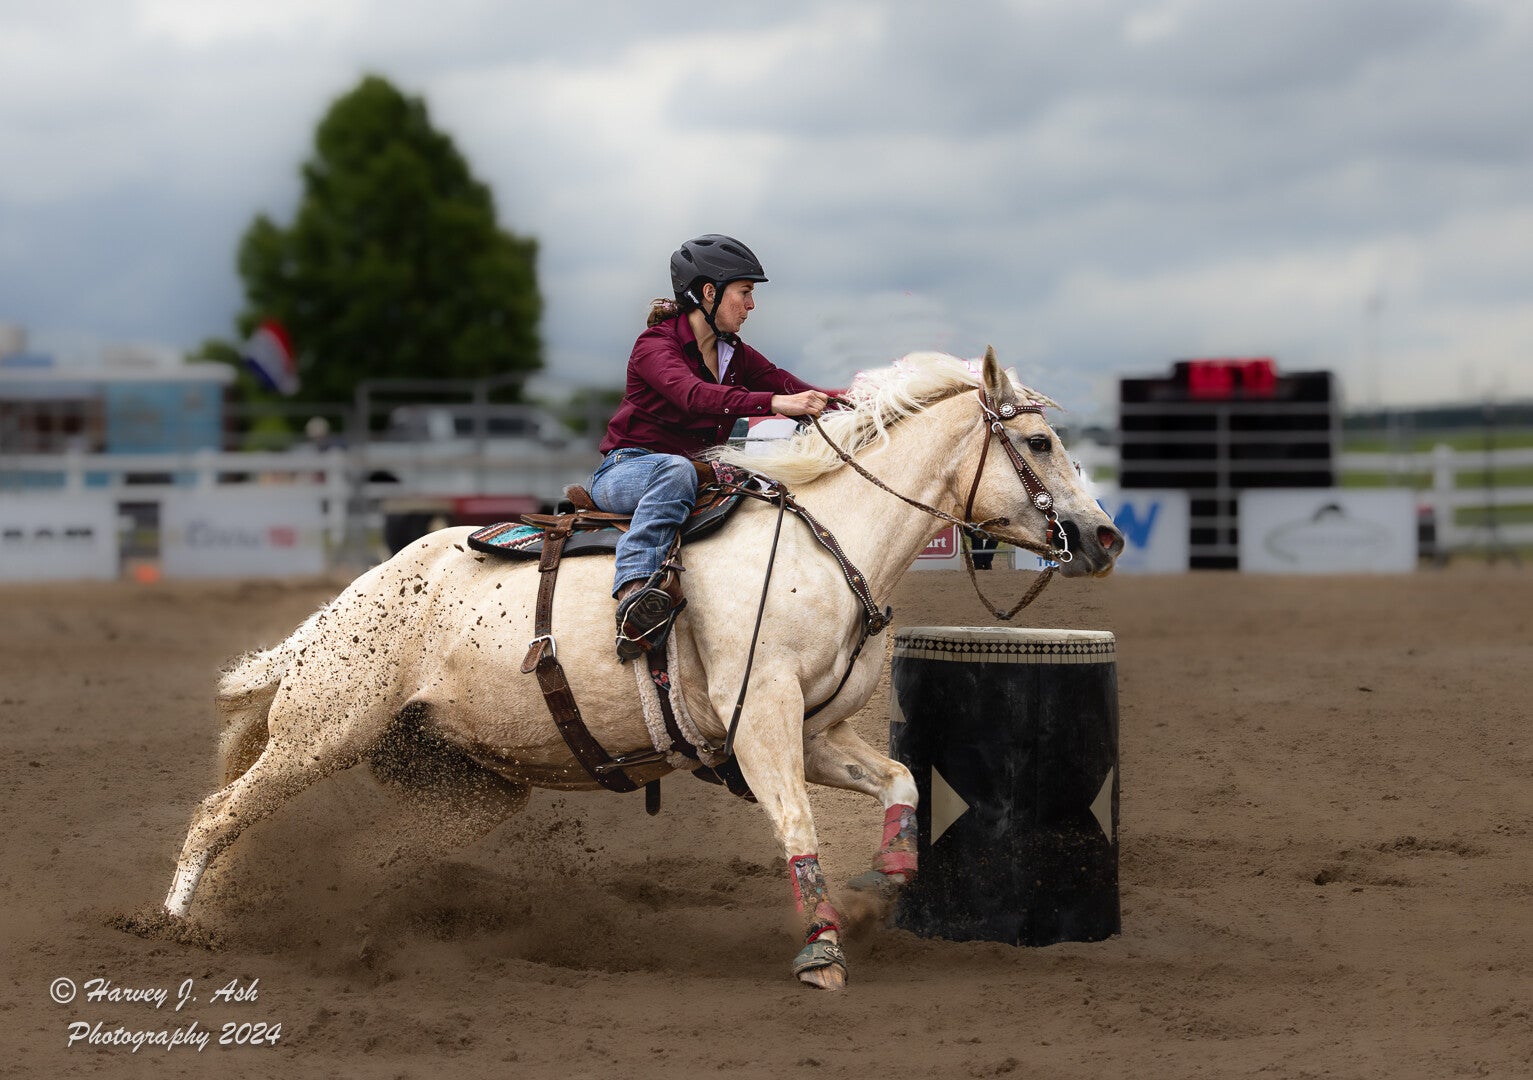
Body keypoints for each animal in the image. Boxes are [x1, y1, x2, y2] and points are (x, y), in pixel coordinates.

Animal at [161, 348, 1123, 990]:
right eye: (1040, 443)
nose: (1106, 536)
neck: (828, 543)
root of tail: (344, 607)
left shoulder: (812, 732)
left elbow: (900, 784)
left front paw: (876, 889)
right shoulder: (760, 720)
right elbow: (798, 826)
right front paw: (820, 949)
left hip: (467, 783)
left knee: (372, 846)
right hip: (322, 730)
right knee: (218, 813)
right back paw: (174, 928)